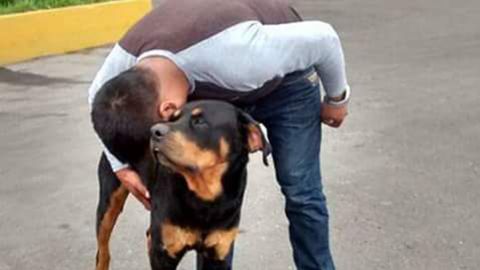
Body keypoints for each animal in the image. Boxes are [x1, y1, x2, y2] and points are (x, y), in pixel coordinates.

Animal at [93, 100, 270, 270]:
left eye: (199, 121)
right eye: (173, 118)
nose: (154, 131)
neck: (205, 199)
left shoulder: (219, 252)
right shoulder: (164, 254)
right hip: (109, 205)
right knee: (102, 250)